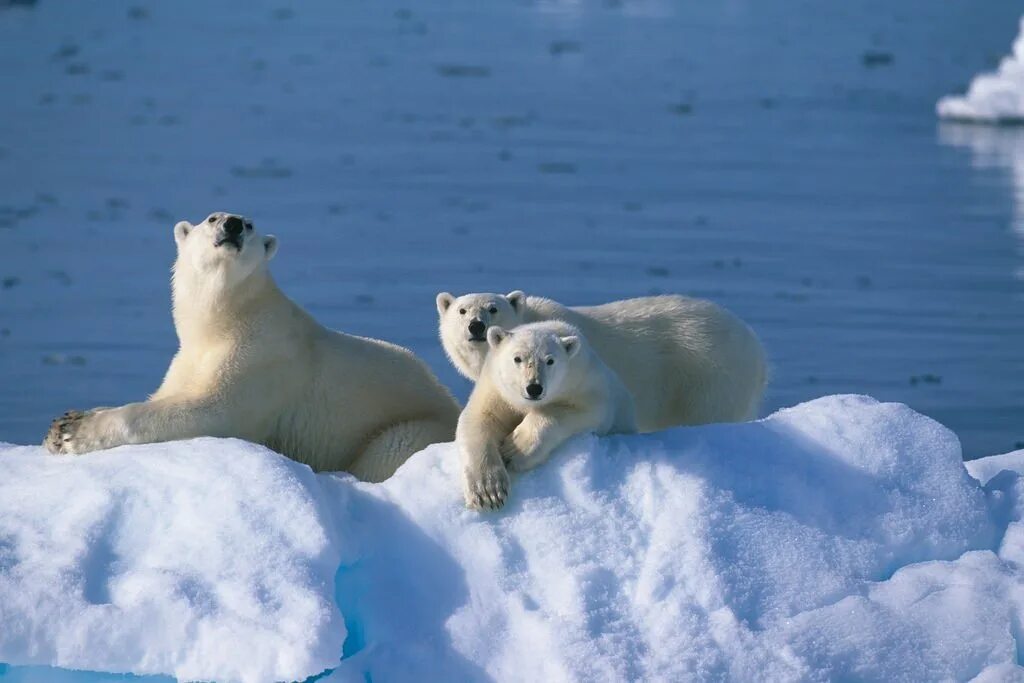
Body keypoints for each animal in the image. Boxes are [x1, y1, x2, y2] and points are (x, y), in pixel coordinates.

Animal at [44, 210, 458, 483]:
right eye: (212, 217)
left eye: (250, 224)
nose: (231, 224)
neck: (224, 323)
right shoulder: (189, 360)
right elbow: (165, 394)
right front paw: (61, 424)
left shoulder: (260, 357)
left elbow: (210, 411)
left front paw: (73, 433)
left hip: (412, 428)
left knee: (387, 453)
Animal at [460, 323, 634, 509]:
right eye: (517, 358)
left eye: (550, 360)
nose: (534, 388)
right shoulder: (496, 390)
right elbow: (479, 419)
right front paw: (488, 493)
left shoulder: (585, 383)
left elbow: (588, 411)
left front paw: (514, 449)